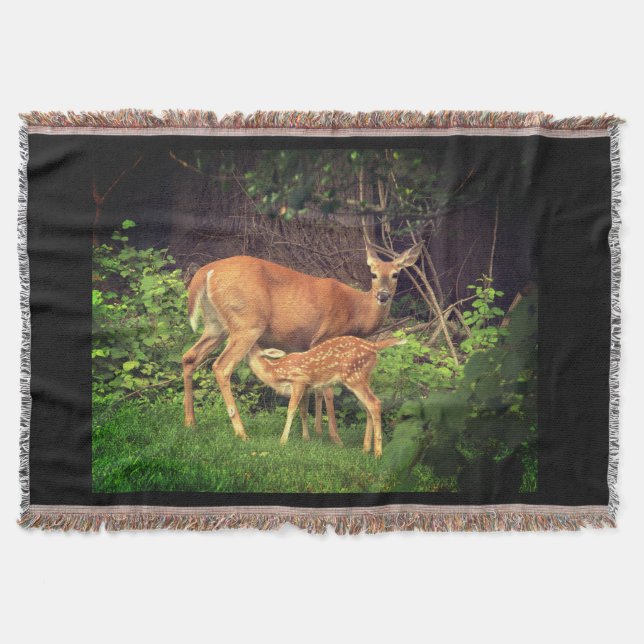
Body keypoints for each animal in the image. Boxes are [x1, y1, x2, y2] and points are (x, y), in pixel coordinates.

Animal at [182, 238, 422, 443]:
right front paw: (334, 437)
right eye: (373, 274)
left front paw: (315, 432)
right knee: (221, 366)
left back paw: (190, 423)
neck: (357, 311)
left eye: (396, 274)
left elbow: (314, 391)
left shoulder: (308, 347)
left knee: (189, 357)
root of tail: (206, 272)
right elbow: (327, 391)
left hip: (216, 325)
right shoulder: (326, 336)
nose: (382, 295)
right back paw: (241, 432)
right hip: (248, 324)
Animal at [246, 336, 406, 457]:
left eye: (251, 346)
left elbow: (291, 410)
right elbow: (303, 412)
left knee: (374, 403)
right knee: (368, 407)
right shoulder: (306, 388)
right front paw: (306, 439)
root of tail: (373, 345)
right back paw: (365, 449)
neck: (275, 372)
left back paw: (378, 453)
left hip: (353, 375)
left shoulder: (299, 380)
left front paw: (282, 441)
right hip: (365, 376)